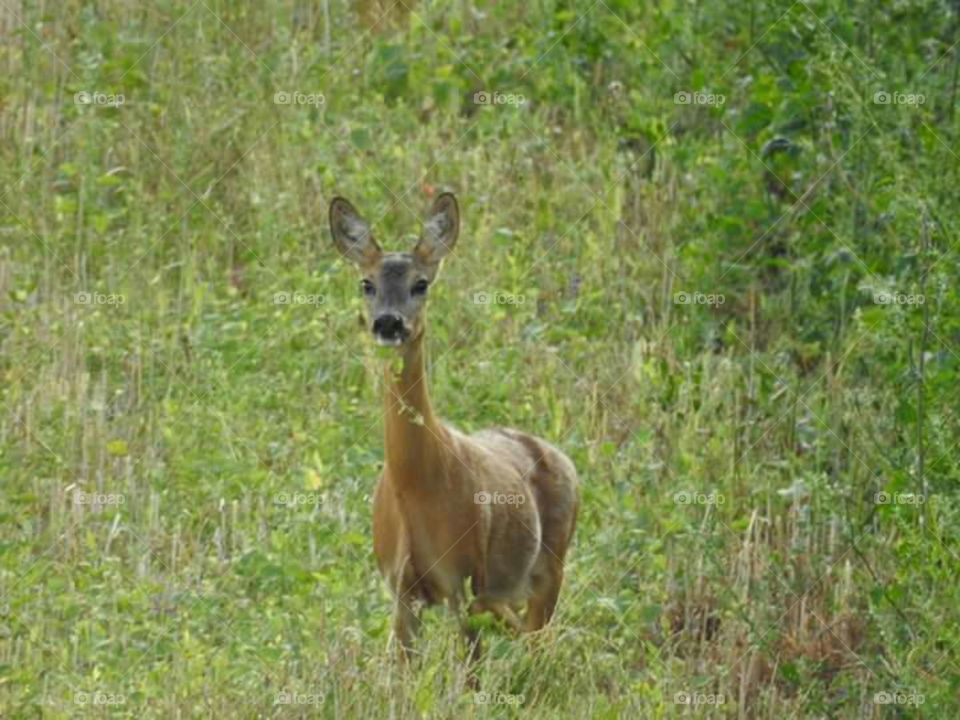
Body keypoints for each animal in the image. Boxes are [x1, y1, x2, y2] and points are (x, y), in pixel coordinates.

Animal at [329, 192, 579, 660]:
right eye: (366, 283)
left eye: (421, 284)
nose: (388, 323)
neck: (415, 485)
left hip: (550, 567)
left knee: (539, 644)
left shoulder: (461, 579)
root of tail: (562, 458)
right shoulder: (401, 590)